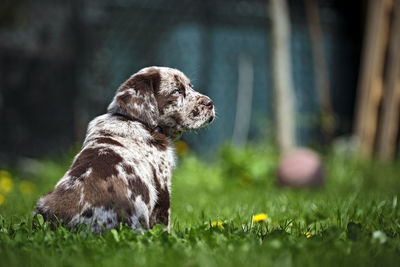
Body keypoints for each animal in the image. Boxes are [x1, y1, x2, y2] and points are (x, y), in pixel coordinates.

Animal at [34, 67, 216, 234]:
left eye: (190, 87)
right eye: (176, 91)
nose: (210, 103)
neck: (133, 120)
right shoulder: (162, 187)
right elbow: (164, 225)